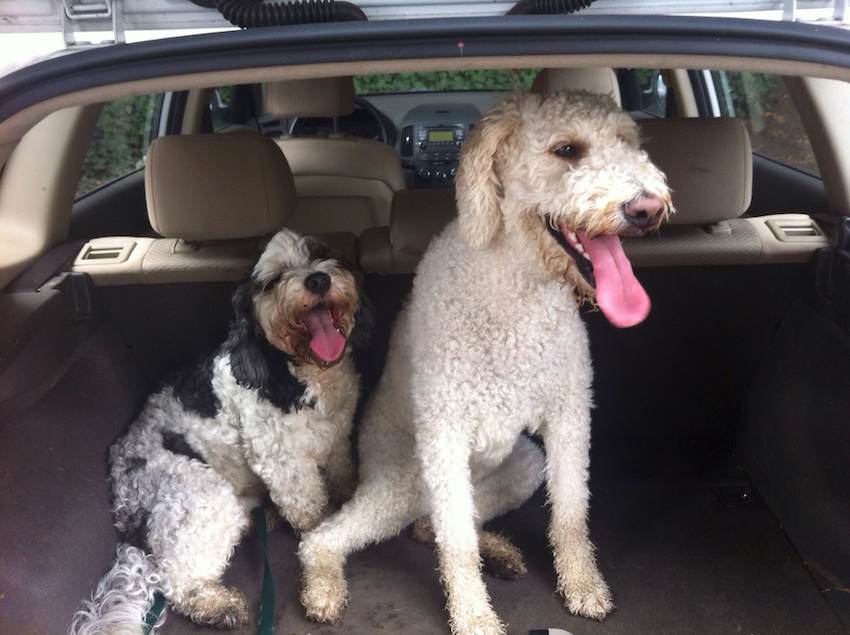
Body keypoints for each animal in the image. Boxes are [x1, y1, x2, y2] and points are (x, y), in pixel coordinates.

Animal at [68, 230, 368, 635]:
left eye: (324, 254)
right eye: (274, 280)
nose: (318, 280)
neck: (300, 372)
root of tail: (126, 506)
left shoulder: (336, 438)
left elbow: (343, 474)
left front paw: (349, 497)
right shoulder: (283, 462)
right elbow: (311, 512)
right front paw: (322, 555)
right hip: (205, 496)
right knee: (176, 579)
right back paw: (215, 604)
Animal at [298, 90, 668, 635]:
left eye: (627, 142)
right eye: (566, 149)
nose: (647, 206)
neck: (516, 287)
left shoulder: (569, 416)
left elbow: (570, 514)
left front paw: (582, 584)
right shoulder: (445, 436)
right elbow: (457, 546)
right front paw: (474, 617)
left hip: (523, 466)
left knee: (431, 526)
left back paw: (499, 553)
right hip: (407, 479)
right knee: (328, 538)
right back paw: (324, 588)